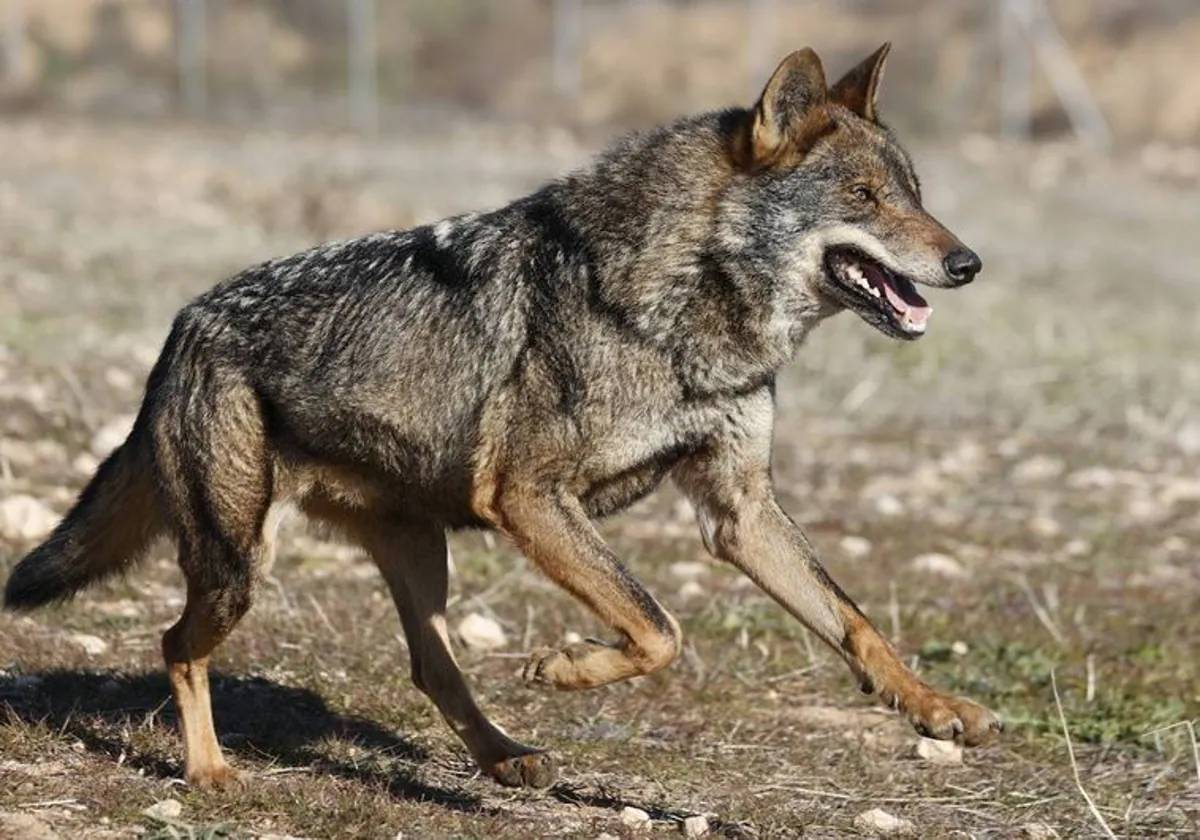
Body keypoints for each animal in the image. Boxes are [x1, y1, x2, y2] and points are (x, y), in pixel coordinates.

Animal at [7, 42, 1003, 792]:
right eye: (865, 198)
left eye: (915, 191)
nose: (969, 264)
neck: (686, 313)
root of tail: (184, 323)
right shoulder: (528, 497)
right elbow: (659, 629)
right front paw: (567, 667)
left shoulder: (738, 512)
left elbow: (852, 620)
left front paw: (935, 706)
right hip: (238, 568)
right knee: (174, 645)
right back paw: (211, 772)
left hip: (414, 557)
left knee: (431, 668)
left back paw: (506, 758)